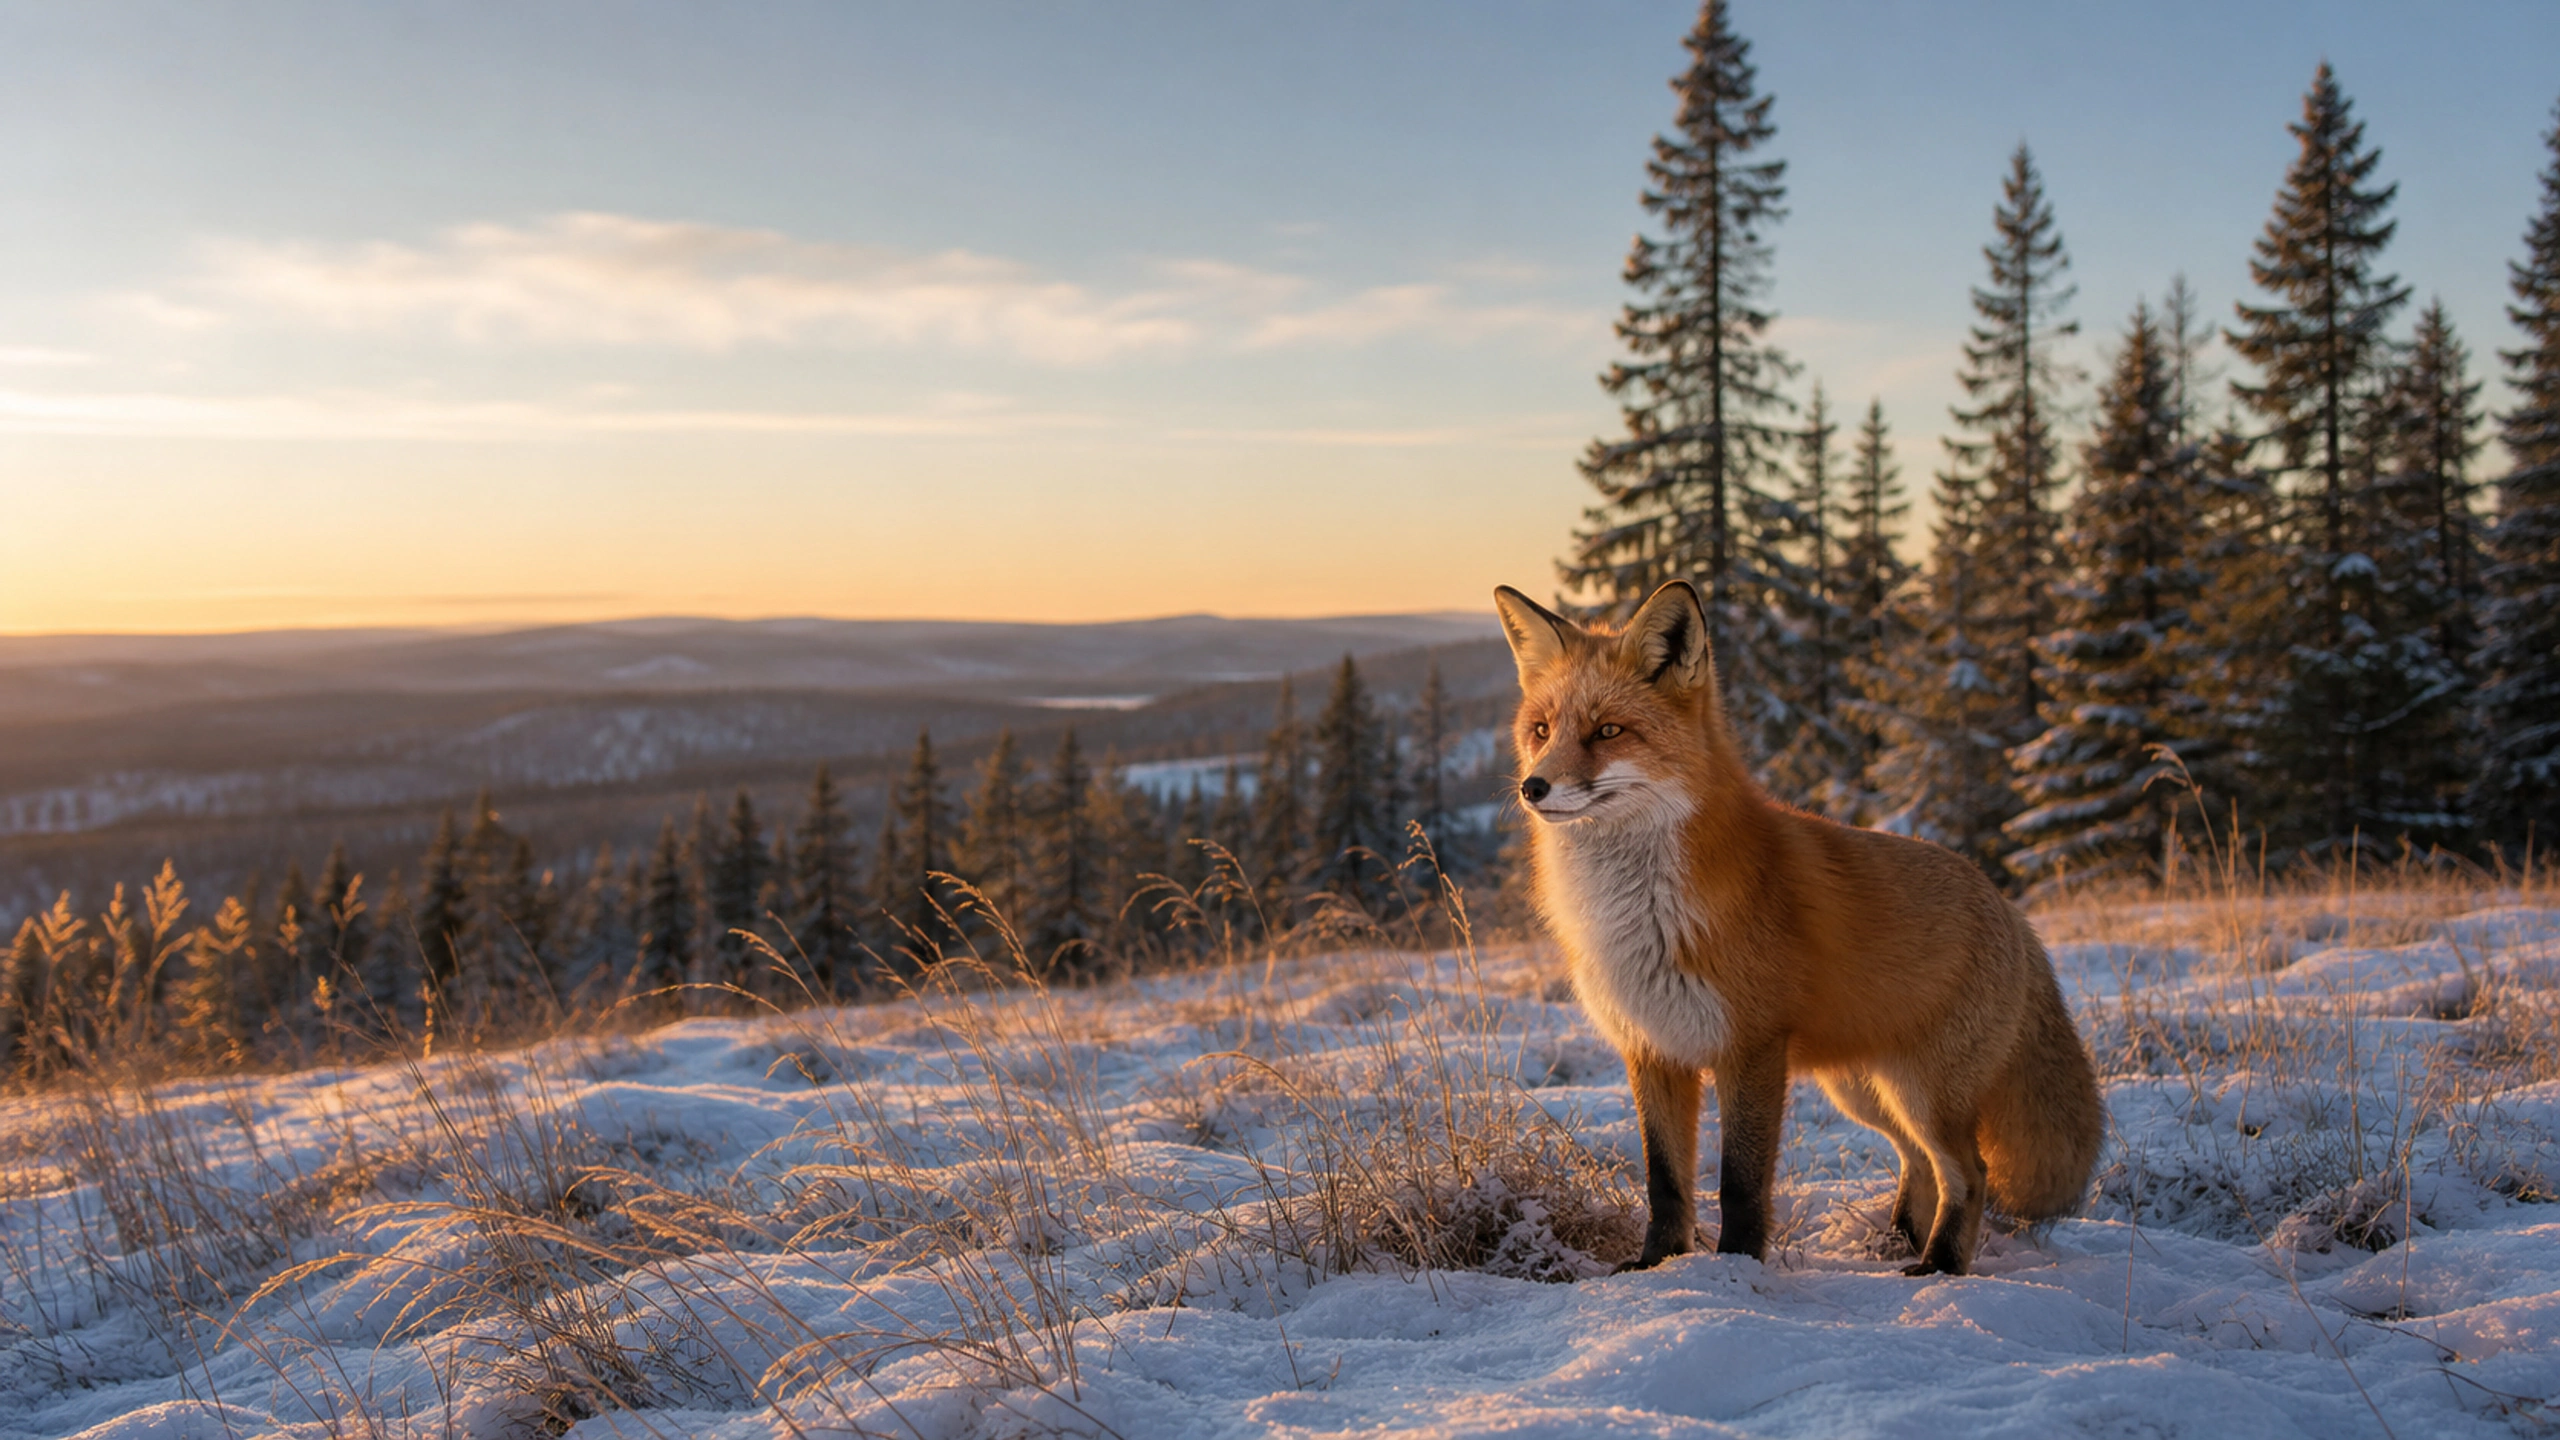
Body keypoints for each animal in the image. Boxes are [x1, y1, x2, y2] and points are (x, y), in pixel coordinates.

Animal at [1495, 579, 2102, 1276]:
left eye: (1608, 731)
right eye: (1542, 730)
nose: (1533, 786)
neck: (1641, 914)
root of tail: (2009, 908)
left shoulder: (1751, 1048)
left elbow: (1740, 1182)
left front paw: (1735, 1268)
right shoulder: (1651, 1050)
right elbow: (1665, 1180)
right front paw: (1656, 1264)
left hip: (1925, 1094)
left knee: (1969, 1172)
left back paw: (1940, 1264)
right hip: (1867, 1092)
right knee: (1920, 1163)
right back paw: (1898, 1240)